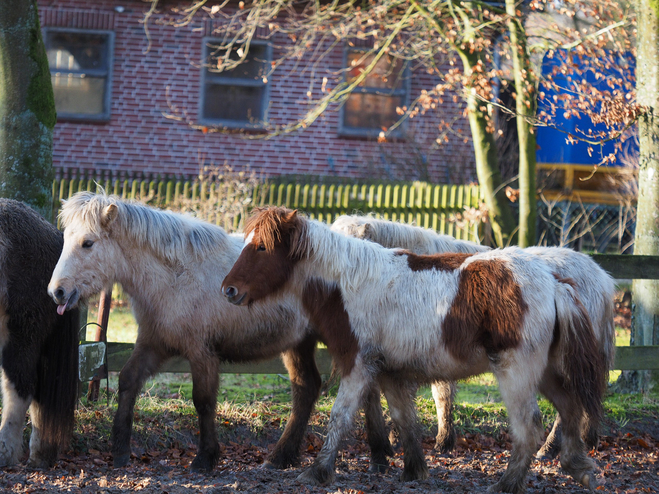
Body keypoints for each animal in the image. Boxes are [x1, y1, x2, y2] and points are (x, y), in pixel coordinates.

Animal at [47, 191, 398, 472]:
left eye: (88, 243)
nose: (57, 292)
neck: (176, 274)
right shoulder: (154, 343)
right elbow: (128, 381)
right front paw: (120, 451)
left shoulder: (202, 352)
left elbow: (202, 401)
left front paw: (205, 458)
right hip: (299, 343)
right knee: (309, 388)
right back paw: (282, 457)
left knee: (364, 390)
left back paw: (379, 457)